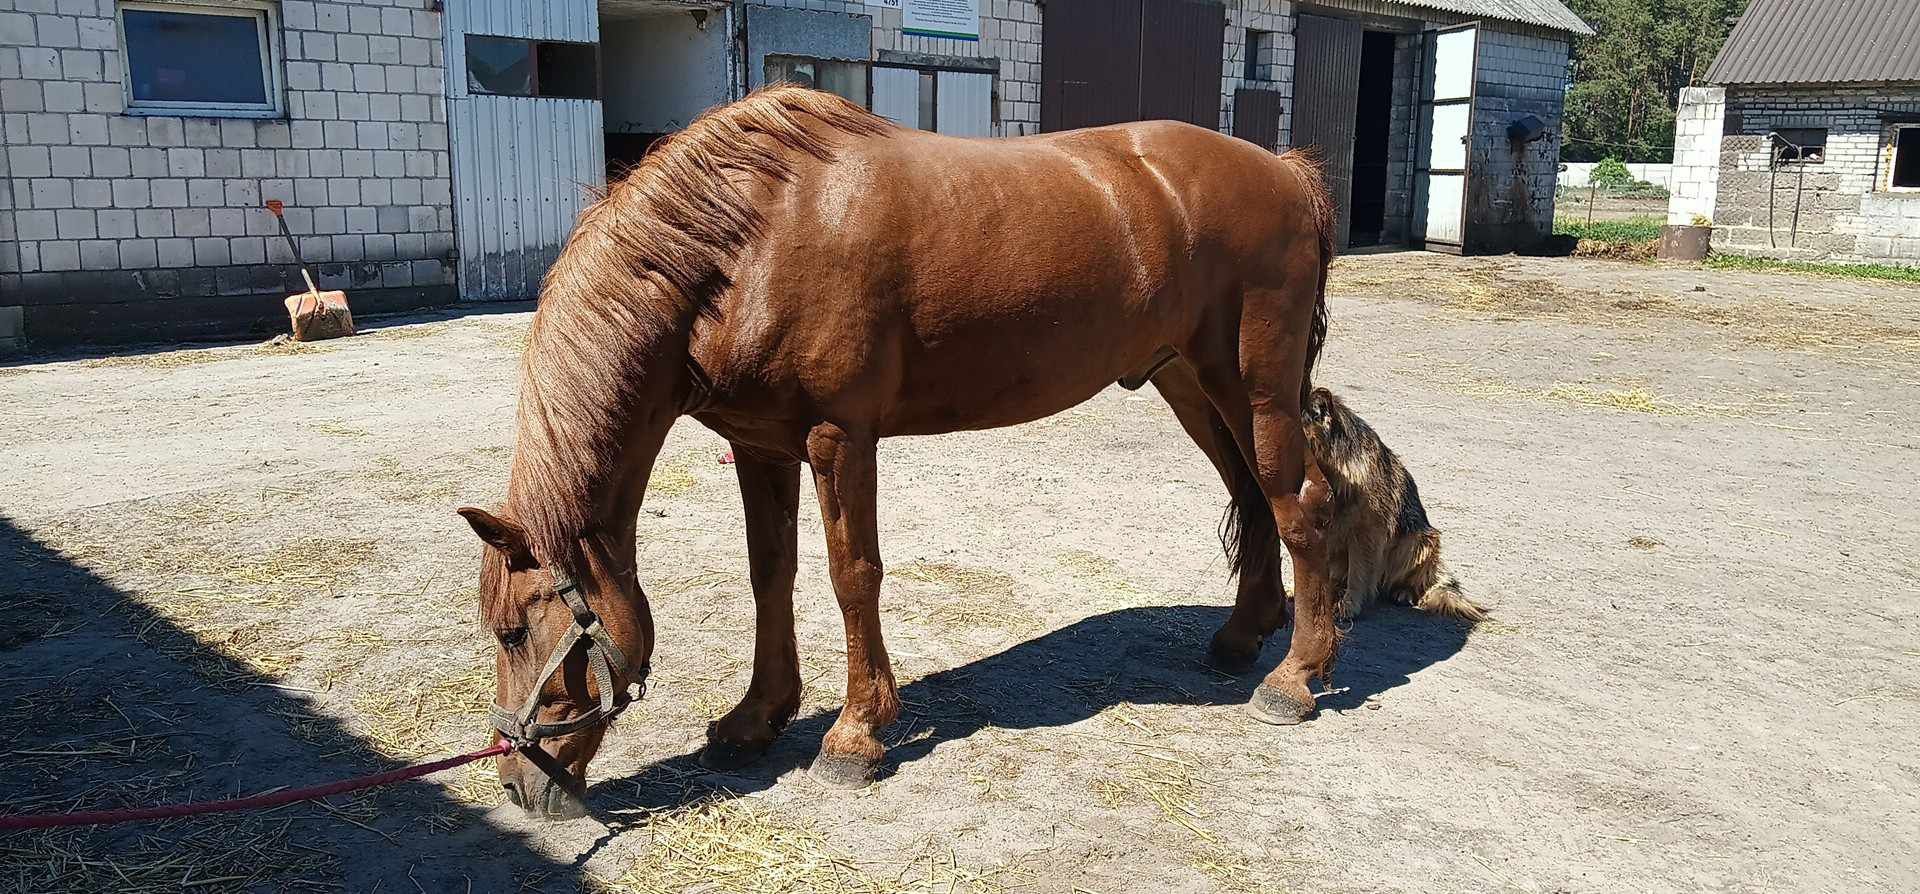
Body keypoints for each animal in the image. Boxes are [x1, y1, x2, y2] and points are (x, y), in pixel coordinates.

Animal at [460, 85, 1336, 817]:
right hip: (1189, 384)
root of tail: (1285, 170)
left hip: (1255, 388)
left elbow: (854, 577)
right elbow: (770, 575)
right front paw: (755, 719)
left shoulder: (839, 438)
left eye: (514, 633)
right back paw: (1243, 637)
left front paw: (855, 735)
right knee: (1252, 495)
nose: (515, 784)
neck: (753, 242)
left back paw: (1294, 680)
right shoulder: (761, 447)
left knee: (1302, 503)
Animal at [1297, 387, 1489, 625]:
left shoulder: (1365, 535)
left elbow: (1358, 574)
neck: (1333, 474)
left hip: (1418, 542)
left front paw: (1349, 605)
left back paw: (1403, 592)